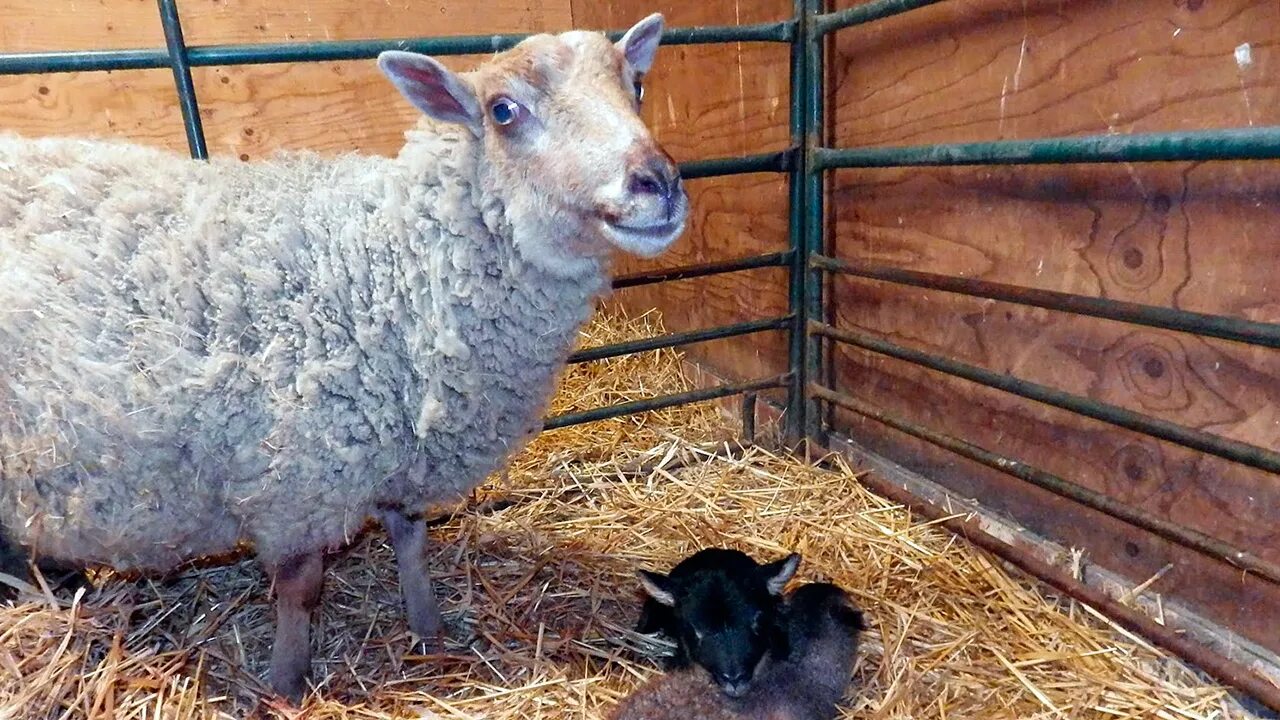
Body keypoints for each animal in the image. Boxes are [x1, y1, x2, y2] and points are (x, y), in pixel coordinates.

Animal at [0, 12, 691, 702]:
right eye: (503, 111)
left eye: (636, 86)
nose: (657, 182)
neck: (386, 271)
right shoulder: (299, 486)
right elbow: (300, 590)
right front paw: (284, 683)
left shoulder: (403, 451)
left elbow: (410, 538)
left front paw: (428, 628)